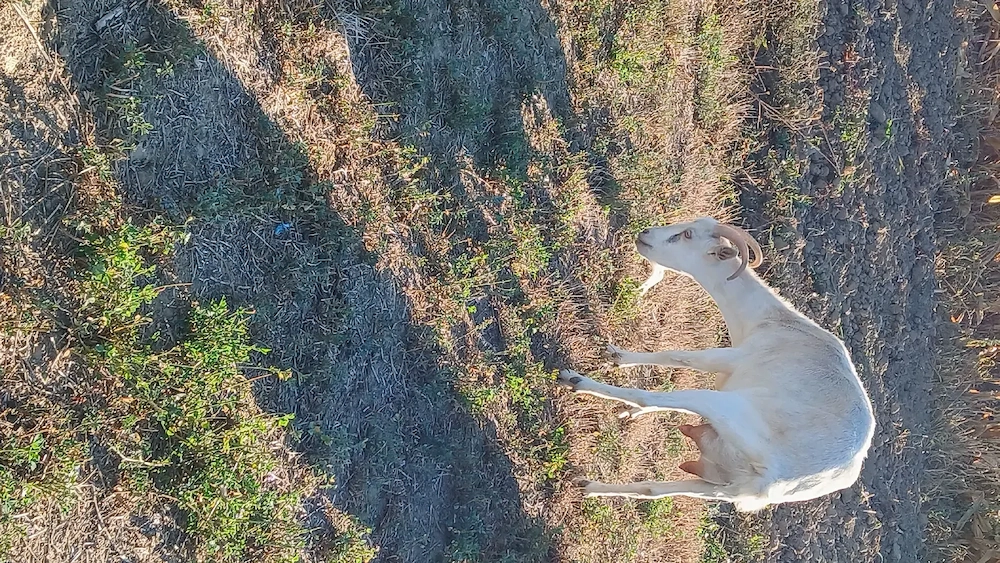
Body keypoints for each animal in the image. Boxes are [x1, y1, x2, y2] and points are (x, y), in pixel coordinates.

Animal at [559, 217, 875, 512]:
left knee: (658, 398)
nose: (645, 234)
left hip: (727, 409)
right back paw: (589, 486)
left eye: (687, 234)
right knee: (654, 489)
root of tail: (777, 481)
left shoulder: (732, 358)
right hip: (719, 484)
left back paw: (576, 381)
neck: (772, 321)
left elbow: (677, 357)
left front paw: (619, 358)